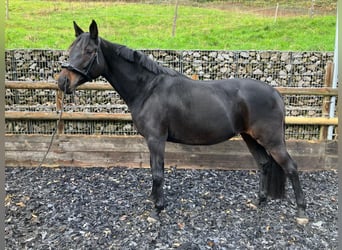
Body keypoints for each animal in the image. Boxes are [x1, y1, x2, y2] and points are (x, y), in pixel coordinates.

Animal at [58, 19, 308, 223]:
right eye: (70, 49)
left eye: (89, 51)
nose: (62, 82)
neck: (148, 88)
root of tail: (275, 93)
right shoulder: (151, 141)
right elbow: (154, 170)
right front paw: (153, 199)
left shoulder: (156, 139)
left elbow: (158, 173)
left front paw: (157, 209)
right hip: (250, 138)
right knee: (264, 164)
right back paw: (260, 201)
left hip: (272, 141)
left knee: (292, 167)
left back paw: (301, 211)